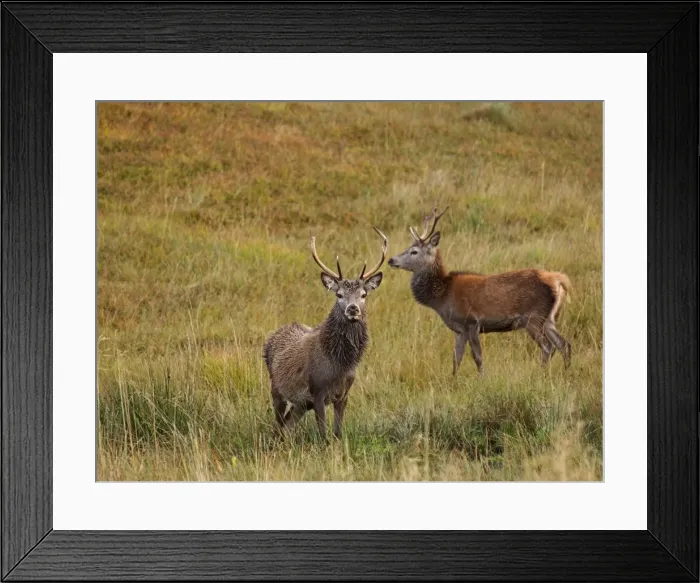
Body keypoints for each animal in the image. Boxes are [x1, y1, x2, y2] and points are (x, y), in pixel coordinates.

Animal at [263, 227, 387, 441]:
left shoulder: (343, 394)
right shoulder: (317, 391)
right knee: (278, 425)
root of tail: (271, 337)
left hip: (301, 403)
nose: (353, 309)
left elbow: (337, 433)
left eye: (364, 295)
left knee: (287, 424)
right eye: (339, 294)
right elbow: (323, 435)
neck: (339, 364)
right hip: (277, 389)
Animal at [388, 206, 572, 376]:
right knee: (564, 344)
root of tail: (558, 280)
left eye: (414, 251)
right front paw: (454, 380)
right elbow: (456, 358)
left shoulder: (472, 322)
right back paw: (566, 372)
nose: (391, 260)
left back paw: (541, 374)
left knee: (548, 347)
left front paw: (481, 379)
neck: (442, 297)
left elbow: (477, 357)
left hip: (533, 317)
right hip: (548, 319)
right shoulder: (459, 329)